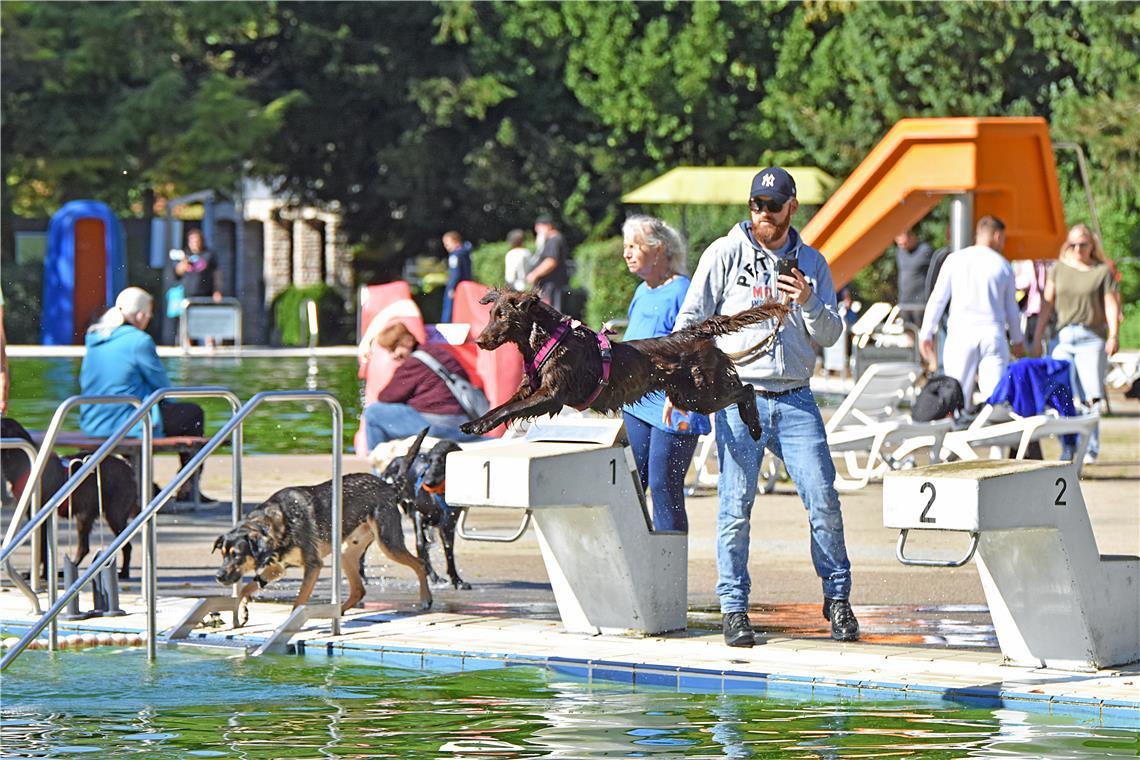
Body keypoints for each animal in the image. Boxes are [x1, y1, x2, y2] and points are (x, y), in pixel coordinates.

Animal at [1, 417, 139, 576]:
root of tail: (129, 469)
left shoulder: (41, 519)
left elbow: (43, 551)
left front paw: (42, 575)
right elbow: (43, 551)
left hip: (111, 515)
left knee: (125, 545)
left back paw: (124, 572)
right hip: (87, 516)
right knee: (85, 548)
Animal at [458, 289, 788, 439]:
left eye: (503, 316)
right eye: (492, 314)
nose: (480, 341)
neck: (547, 339)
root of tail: (694, 332)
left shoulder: (552, 395)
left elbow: (511, 409)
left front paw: (480, 425)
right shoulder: (529, 389)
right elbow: (503, 406)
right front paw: (476, 422)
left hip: (702, 393)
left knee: (746, 389)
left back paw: (754, 425)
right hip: (688, 396)